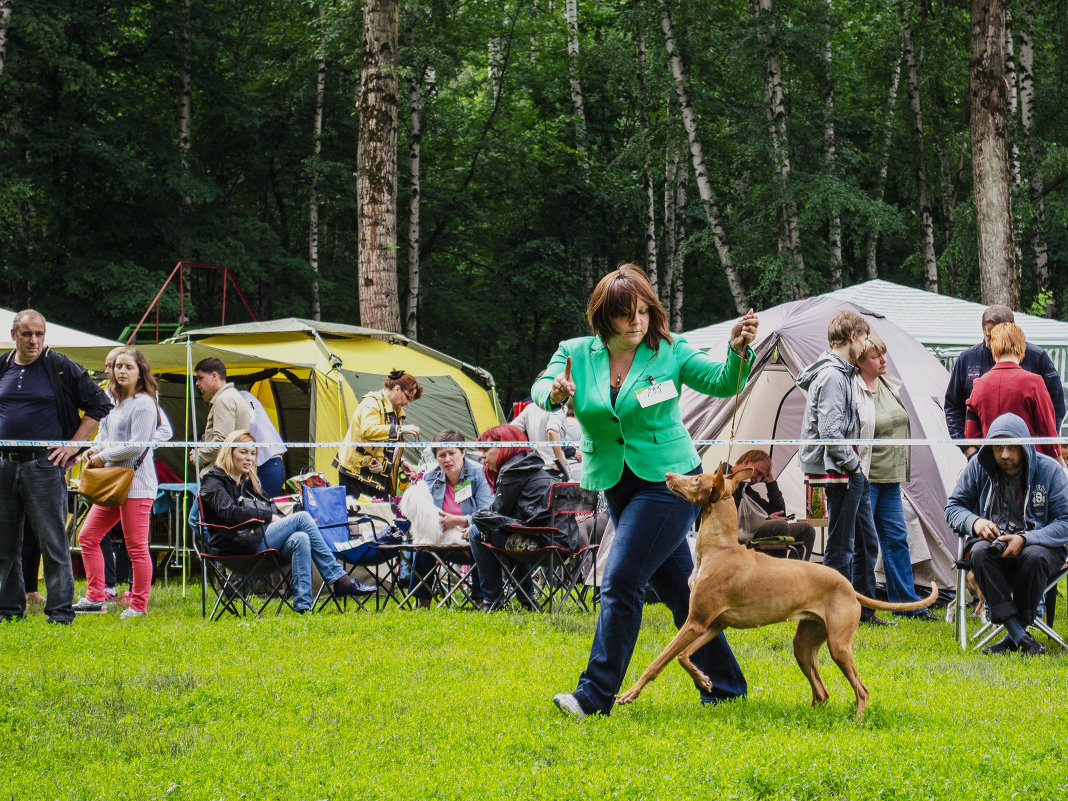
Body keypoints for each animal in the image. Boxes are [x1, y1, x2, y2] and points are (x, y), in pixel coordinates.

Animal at [615, 467, 939, 717]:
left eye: (696, 480)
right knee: (822, 692)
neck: (720, 549)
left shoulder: (696, 622)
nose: (668, 475)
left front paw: (628, 695)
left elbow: (659, 661)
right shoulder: (712, 624)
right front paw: (705, 680)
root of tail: (848, 586)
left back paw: (857, 721)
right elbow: (683, 657)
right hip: (804, 645)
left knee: (862, 690)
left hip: (839, 646)